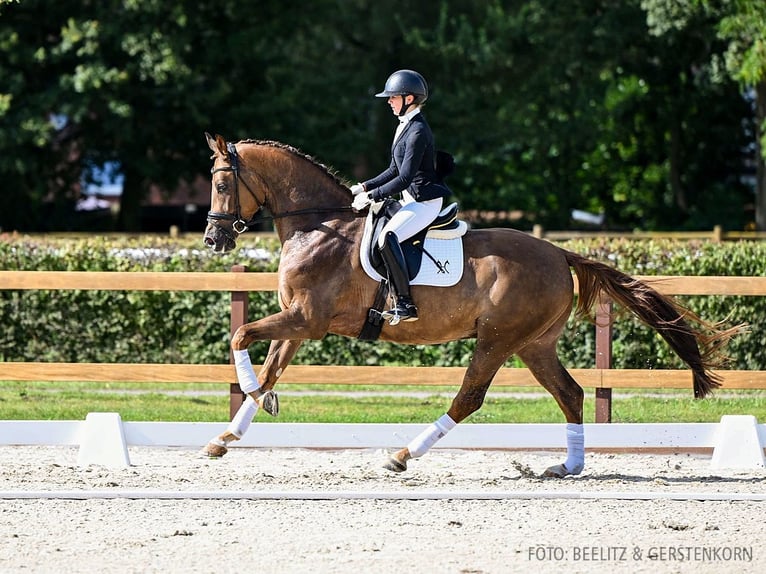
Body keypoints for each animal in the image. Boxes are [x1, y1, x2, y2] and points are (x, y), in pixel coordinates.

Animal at [201, 133, 740, 480]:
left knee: (470, 398)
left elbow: (241, 336)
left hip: (498, 339)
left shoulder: (307, 321)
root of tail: (558, 252)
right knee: (570, 394)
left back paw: (402, 456)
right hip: (534, 344)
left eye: (223, 185)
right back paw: (568, 465)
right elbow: (268, 367)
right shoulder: (297, 323)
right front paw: (228, 434)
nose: (212, 239)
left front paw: (252, 403)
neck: (319, 227)